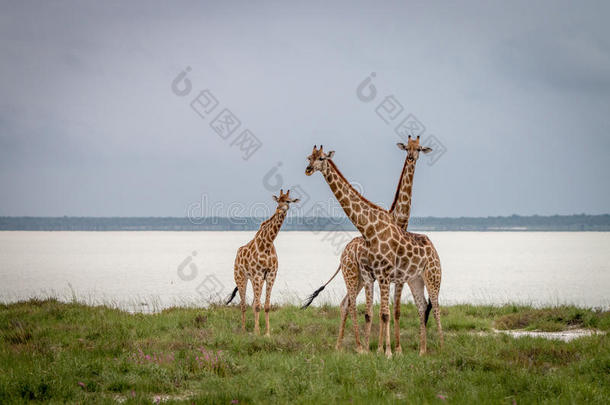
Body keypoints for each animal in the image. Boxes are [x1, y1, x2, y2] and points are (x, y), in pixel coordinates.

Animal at [224, 189, 298, 334]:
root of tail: (238, 254)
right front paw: (257, 333)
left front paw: (267, 333)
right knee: (243, 304)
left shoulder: (270, 275)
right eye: (278, 200)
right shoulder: (258, 274)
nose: (280, 209)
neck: (268, 244)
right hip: (241, 277)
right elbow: (258, 305)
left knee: (253, 303)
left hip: (255, 279)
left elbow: (266, 305)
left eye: (288, 201)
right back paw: (243, 330)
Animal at [302, 136, 434, 354]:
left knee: (347, 304)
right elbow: (380, 312)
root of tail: (343, 253)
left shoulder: (390, 275)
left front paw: (391, 349)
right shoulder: (381, 275)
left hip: (360, 279)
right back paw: (354, 346)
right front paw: (383, 349)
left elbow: (391, 311)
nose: (308, 169)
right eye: (309, 157)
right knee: (350, 304)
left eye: (419, 148)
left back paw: (343, 346)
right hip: (355, 276)